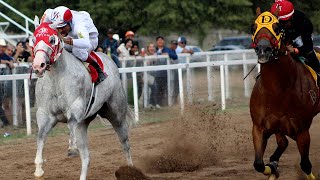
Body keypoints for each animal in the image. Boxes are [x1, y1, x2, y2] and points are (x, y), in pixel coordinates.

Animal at [31, 20, 132, 179]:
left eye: (52, 39)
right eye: (34, 39)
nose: (38, 65)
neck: (56, 79)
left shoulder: (76, 108)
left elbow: (71, 122)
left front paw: (71, 147)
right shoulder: (45, 115)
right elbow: (40, 136)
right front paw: (39, 168)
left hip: (116, 114)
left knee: (125, 143)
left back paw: (130, 169)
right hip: (84, 123)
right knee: (86, 157)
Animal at [251, 8, 318, 179]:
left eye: (276, 28)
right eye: (253, 27)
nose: (263, 49)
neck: (277, 90)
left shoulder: (302, 131)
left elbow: (305, 164)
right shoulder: (260, 127)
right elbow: (258, 164)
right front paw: (273, 168)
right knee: (283, 143)